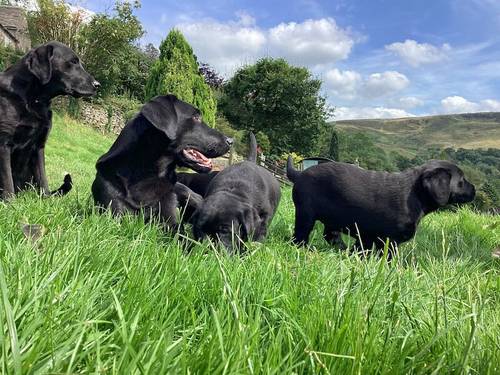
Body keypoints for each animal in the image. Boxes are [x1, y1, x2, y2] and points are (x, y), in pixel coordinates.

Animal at [0, 41, 99, 200]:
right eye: (73, 62)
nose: (97, 85)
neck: (34, 100)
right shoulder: (3, 144)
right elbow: (7, 180)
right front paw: (10, 202)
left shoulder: (39, 146)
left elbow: (43, 179)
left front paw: (46, 201)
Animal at [288, 157, 474, 251]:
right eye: (462, 181)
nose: (474, 189)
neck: (416, 194)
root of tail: (299, 174)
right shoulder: (389, 241)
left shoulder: (368, 237)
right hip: (306, 214)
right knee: (300, 236)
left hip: (333, 219)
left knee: (330, 235)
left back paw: (341, 249)